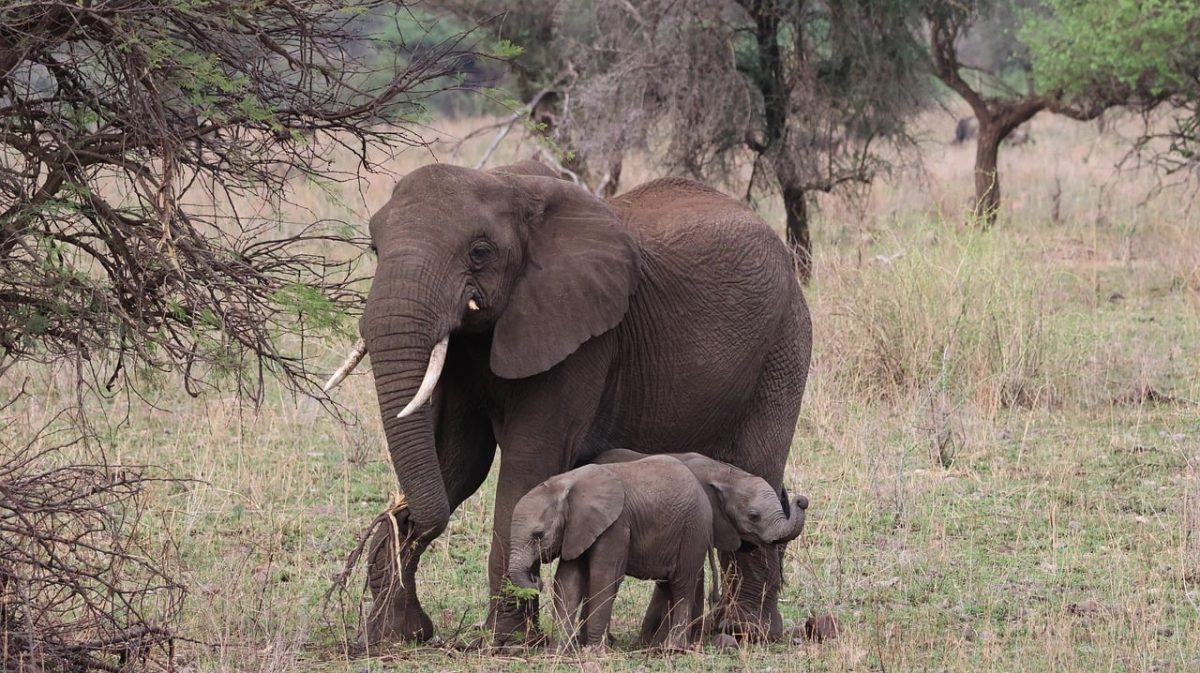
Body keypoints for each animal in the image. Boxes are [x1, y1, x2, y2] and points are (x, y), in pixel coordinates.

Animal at [506, 457, 713, 652]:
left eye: (538, 535)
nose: (536, 579)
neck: (566, 483)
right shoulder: (576, 528)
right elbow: (568, 582)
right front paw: (555, 652)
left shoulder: (616, 526)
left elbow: (604, 578)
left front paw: (593, 651)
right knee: (666, 585)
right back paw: (655, 647)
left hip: (694, 531)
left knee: (682, 584)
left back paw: (673, 648)